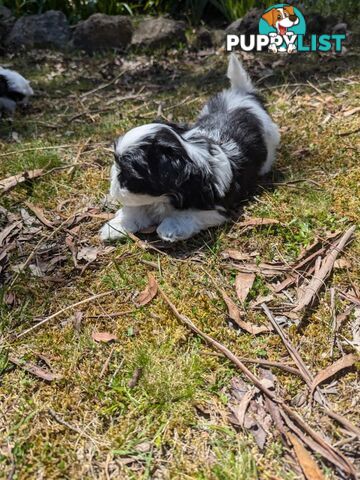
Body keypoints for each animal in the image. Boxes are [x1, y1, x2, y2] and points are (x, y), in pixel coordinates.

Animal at [100, 54, 280, 242]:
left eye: (128, 175)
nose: (113, 184)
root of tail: (242, 94)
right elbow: (136, 209)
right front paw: (115, 226)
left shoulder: (215, 209)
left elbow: (187, 215)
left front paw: (170, 227)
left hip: (271, 137)